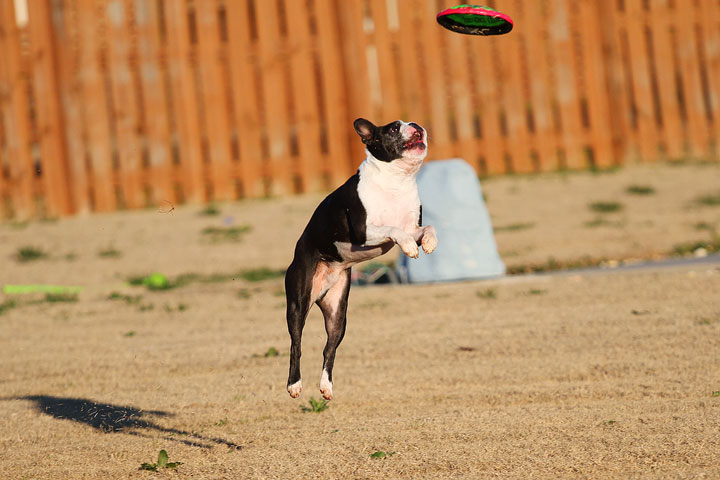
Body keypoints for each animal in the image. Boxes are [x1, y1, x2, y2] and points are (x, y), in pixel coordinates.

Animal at [284, 119, 436, 402]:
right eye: (393, 129)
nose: (416, 125)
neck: (396, 181)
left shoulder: (413, 227)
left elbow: (428, 228)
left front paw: (429, 243)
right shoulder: (364, 231)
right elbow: (393, 230)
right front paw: (410, 248)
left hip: (338, 313)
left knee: (329, 348)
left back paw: (326, 387)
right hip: (298, 303)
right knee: (295, 344)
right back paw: (294, 385)